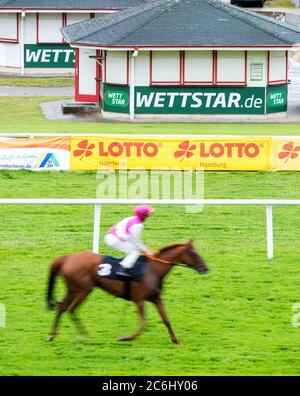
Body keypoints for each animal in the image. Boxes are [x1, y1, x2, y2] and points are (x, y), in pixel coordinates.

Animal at [46, 241, 209, 344]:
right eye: (193, 253)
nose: (205, 268)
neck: (153, 270)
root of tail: (66, 258)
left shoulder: (156, 298)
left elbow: (166, 320)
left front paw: (176, 340)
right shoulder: (139, 299)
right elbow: (144, 324)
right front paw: (126, 338)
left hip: (73, 289)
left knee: (62, 307)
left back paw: (52, 335)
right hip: (82, 290)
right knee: (71, 309)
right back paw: (84, 337)